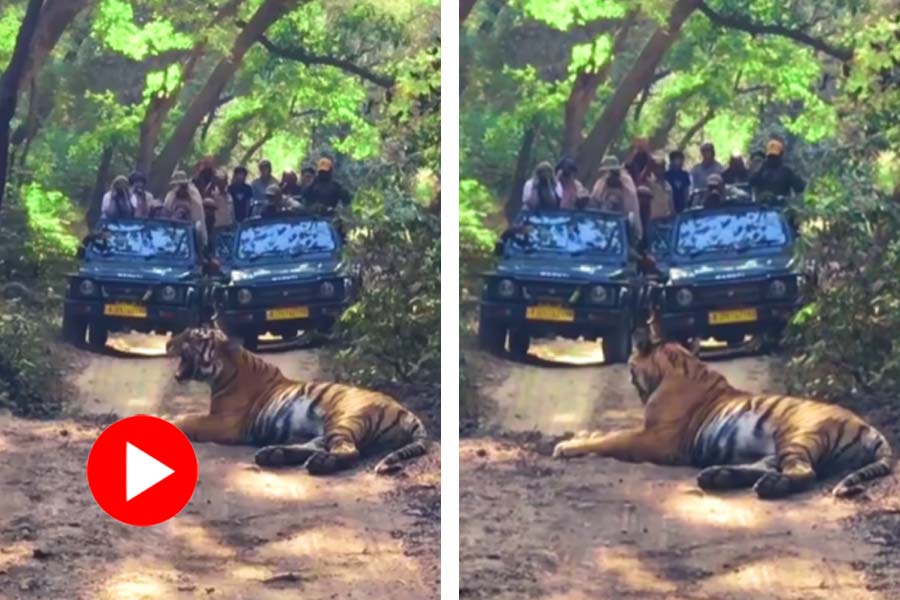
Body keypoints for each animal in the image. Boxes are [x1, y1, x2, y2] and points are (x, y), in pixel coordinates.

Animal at [165, 327, 430, 475]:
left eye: (194, 337)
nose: (168, 342)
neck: (225, 372)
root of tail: (404, 410)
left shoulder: (226, 422)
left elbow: (188, 418)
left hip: (345, 418)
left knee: (348, 451)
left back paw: (320, 463)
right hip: (331, 428)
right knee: (315, 446)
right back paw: (273, 454)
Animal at [552, 327, 894, 499]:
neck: (675, 365)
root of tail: (868, 427)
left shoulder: (657, 439)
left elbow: (612, 439)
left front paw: (568, 446)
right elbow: (607, 433)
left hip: (798, 434)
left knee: (801, 472)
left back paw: (768, 487)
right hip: (780, 447)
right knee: (765, 466)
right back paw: (718, 476)